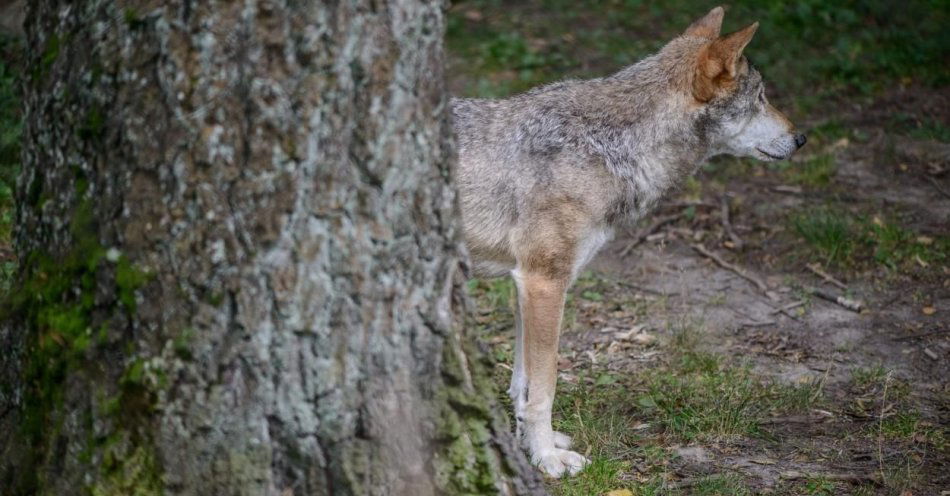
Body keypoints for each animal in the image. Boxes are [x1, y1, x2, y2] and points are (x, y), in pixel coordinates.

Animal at [452, 5, 804, 478]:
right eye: (762, 97)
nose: (801, 138)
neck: (609, 146)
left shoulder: (525, 283)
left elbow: (522, 385)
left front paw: (533, 444)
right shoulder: (543, 282)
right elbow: (544, 388)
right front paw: (547, 459)